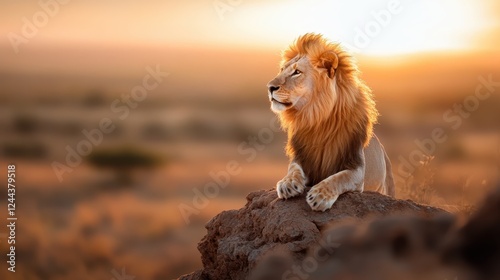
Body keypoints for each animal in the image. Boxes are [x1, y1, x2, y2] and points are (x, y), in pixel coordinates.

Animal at [266, 33, 394, 212]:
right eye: (282, 70)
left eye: (297, 72)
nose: (270, 87)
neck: (316, 116)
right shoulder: (302, 156)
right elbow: (293, 168)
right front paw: (287, 183)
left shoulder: (356, 168)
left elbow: (339, 177)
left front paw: (319, 196)